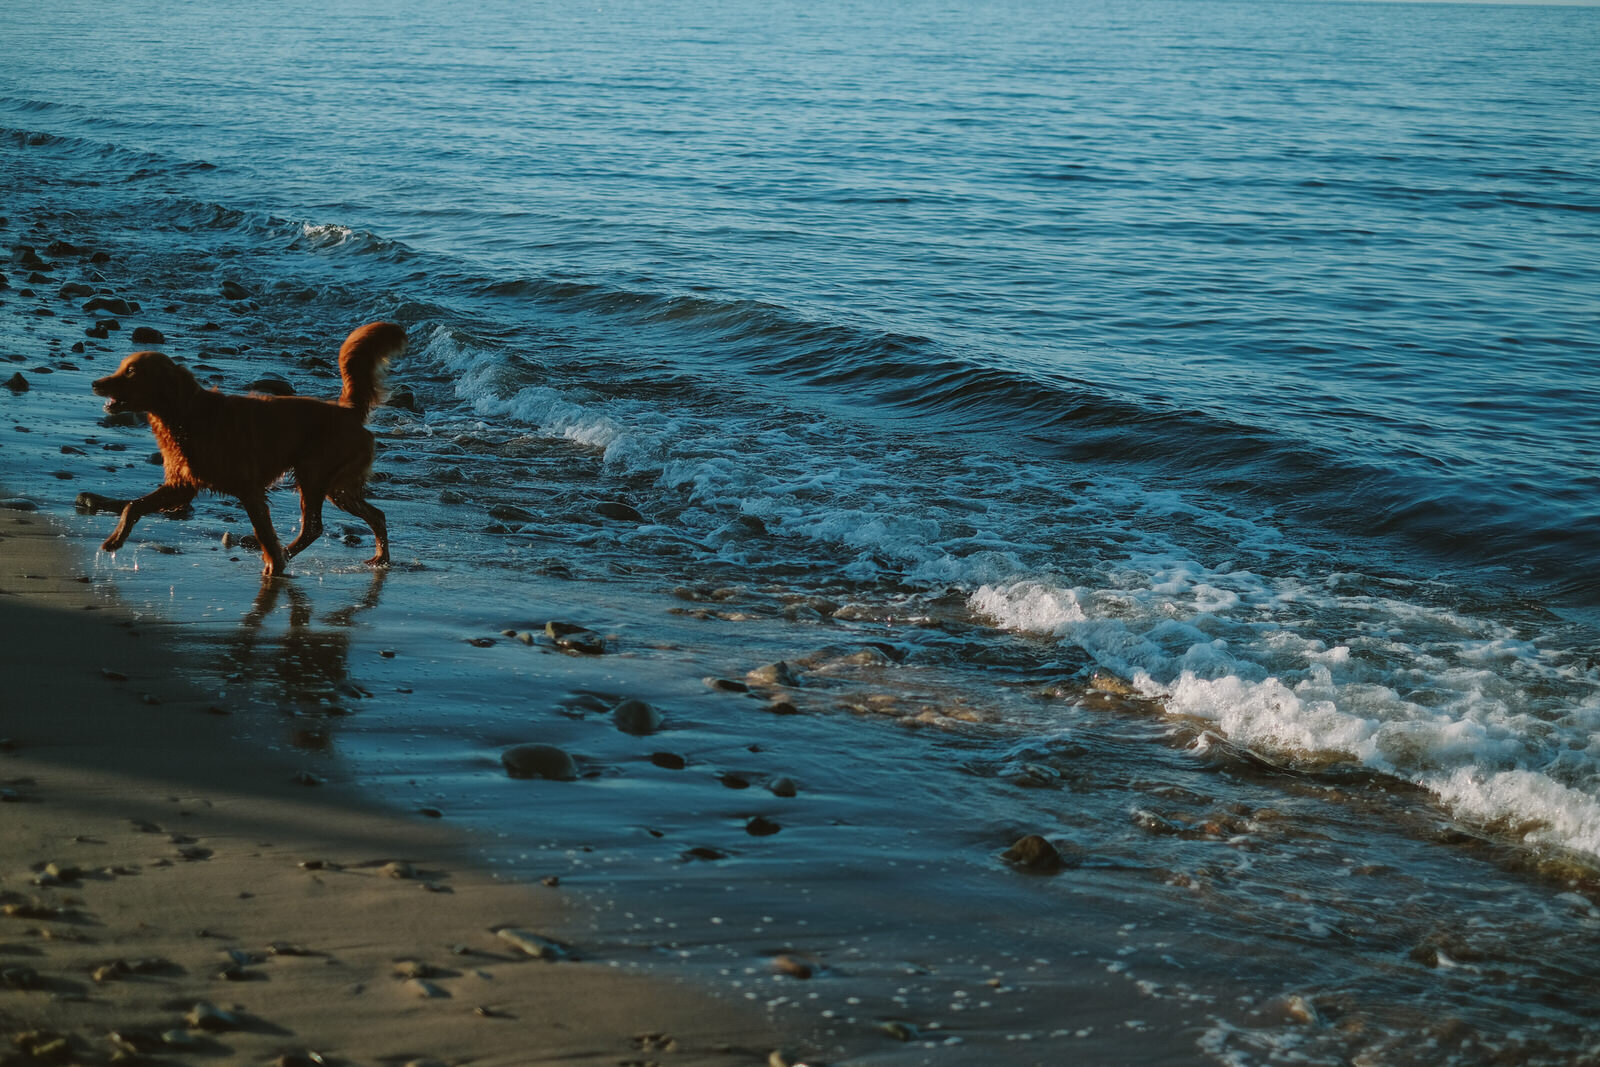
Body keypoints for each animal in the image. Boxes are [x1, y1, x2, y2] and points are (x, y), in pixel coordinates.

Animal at [90, 321, 406, 579]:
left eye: (131, 372)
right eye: (122, 367)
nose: (95, 383)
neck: (185, 415)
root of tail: (347, 411)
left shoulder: (249, 488)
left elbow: (264, 532)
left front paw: (274, 566)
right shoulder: (182, 485)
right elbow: (133, 505)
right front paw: (115, 540)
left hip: (316, 475)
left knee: (315, 526)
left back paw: (289, 556)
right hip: (335, 486)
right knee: (374, 515)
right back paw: (379, 559)